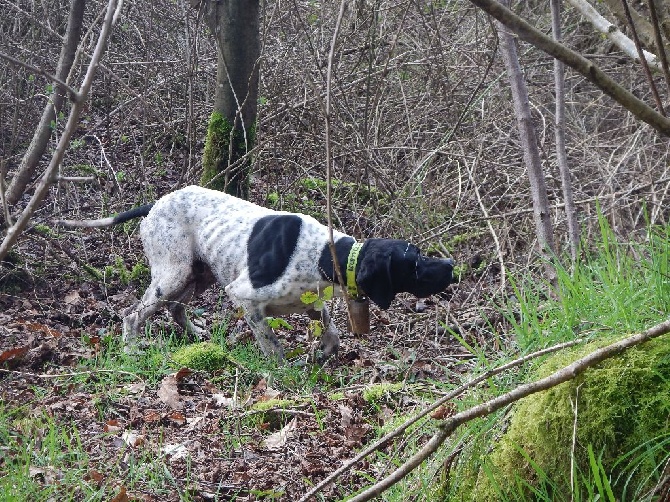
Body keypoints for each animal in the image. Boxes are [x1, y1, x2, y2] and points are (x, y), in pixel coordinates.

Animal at [59, 184, 456, 360]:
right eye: (414, 263)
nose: (451, 266)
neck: (325, 254)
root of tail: (155, 203)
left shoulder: (311, 301)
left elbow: (332, 333)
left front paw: (322, 354)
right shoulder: (245, 297)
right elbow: (272, 344)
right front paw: (283, 371)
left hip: (197, 274)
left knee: (175, 308)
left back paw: (194, 333)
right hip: (173, 274)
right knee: (133, 314)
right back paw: (130, 348)